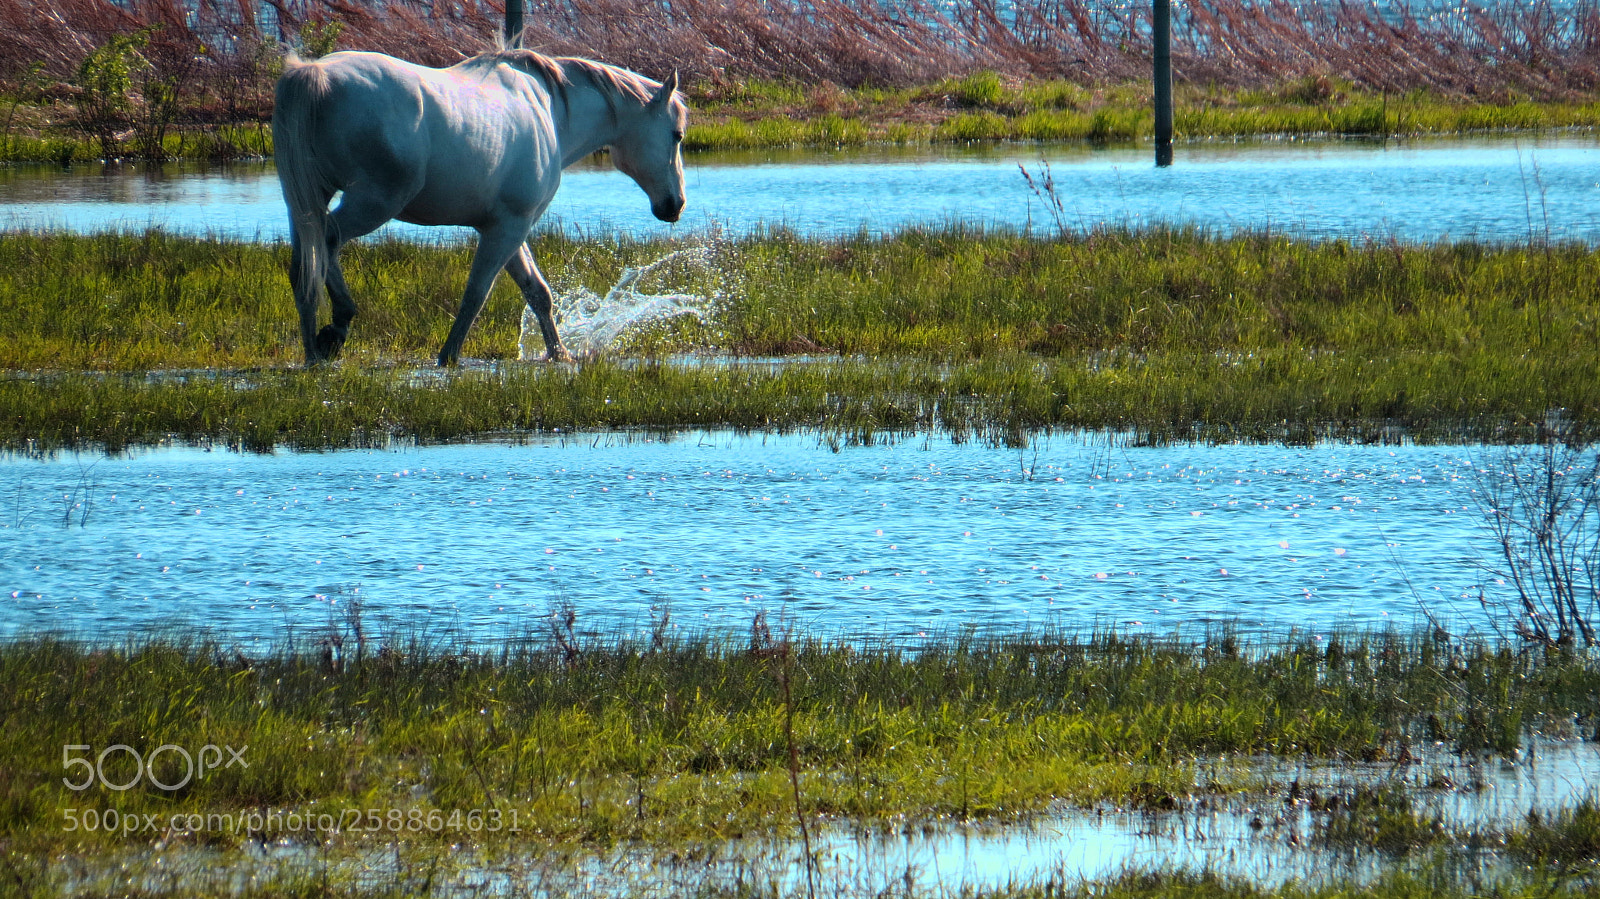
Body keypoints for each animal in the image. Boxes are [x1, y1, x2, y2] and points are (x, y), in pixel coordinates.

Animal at [272, 48, 687, 366]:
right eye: (677, 135)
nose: (675, 205)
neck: (551, 111)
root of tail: (314, 74)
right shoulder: (508, 228)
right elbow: (477, 293)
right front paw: (449, 356)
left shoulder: (509, 225)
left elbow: (538, 292)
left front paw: (559, 354)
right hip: (374, 201)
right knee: (327, 242)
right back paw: (337, 327)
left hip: (307, 200)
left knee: (304, 263)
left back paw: (313, 350)